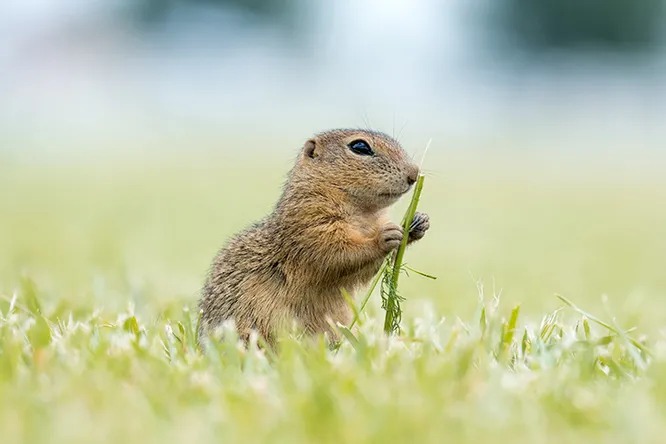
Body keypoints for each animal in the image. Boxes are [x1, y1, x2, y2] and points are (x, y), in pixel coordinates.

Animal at [197, 128, 428, 346]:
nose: (414, 173)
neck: (364, 214)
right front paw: (384, 237)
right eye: (360, 147)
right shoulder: (308, 225)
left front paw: (417, 223)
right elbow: (335, 253)